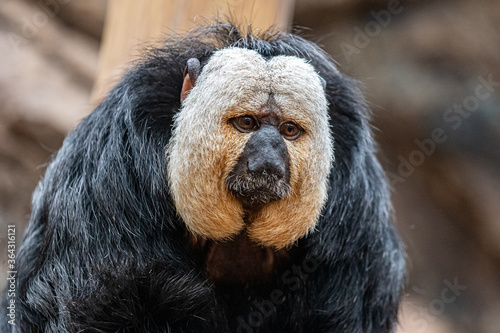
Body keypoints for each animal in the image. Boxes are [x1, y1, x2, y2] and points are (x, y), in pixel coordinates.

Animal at [0, 23, 404, 332]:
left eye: (289, 131)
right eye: (247, 123)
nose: (269, 159)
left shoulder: (354, 219)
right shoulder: (111, 172)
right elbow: (98, 304)